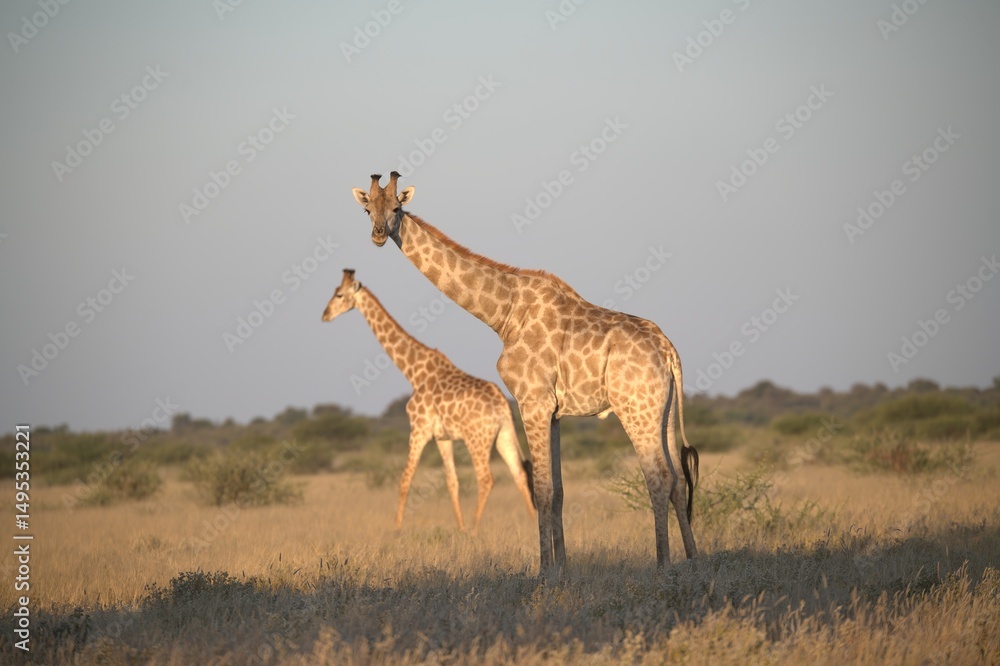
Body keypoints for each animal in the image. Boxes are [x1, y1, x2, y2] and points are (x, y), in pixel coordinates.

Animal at [322, 268, 535, 532]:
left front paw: (397, 529)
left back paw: (475, 529)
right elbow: (452, 481)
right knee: (520, 473)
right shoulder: (443, 437)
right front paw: (459, 528)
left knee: (487, 478)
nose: (325, 315)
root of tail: (503, 405)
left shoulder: (419, 429)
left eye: (339, 295)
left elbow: (404, 478)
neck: (413, 371)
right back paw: (532, 523)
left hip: (477, 439)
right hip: (503, 434)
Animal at [350, 172, 699, 572]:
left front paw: (545, 571)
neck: (503, 315)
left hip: (635, 408)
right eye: (367, 210)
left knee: (658, 477)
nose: (378, 234)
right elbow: (559, 491)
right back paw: (692, 559)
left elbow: (542, 490)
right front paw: (563, 567)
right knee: (678, 479)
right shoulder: (555, 412)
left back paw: (663, 565)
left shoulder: (532, 402)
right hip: (664, 410)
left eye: (396, 208)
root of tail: (669, 351)